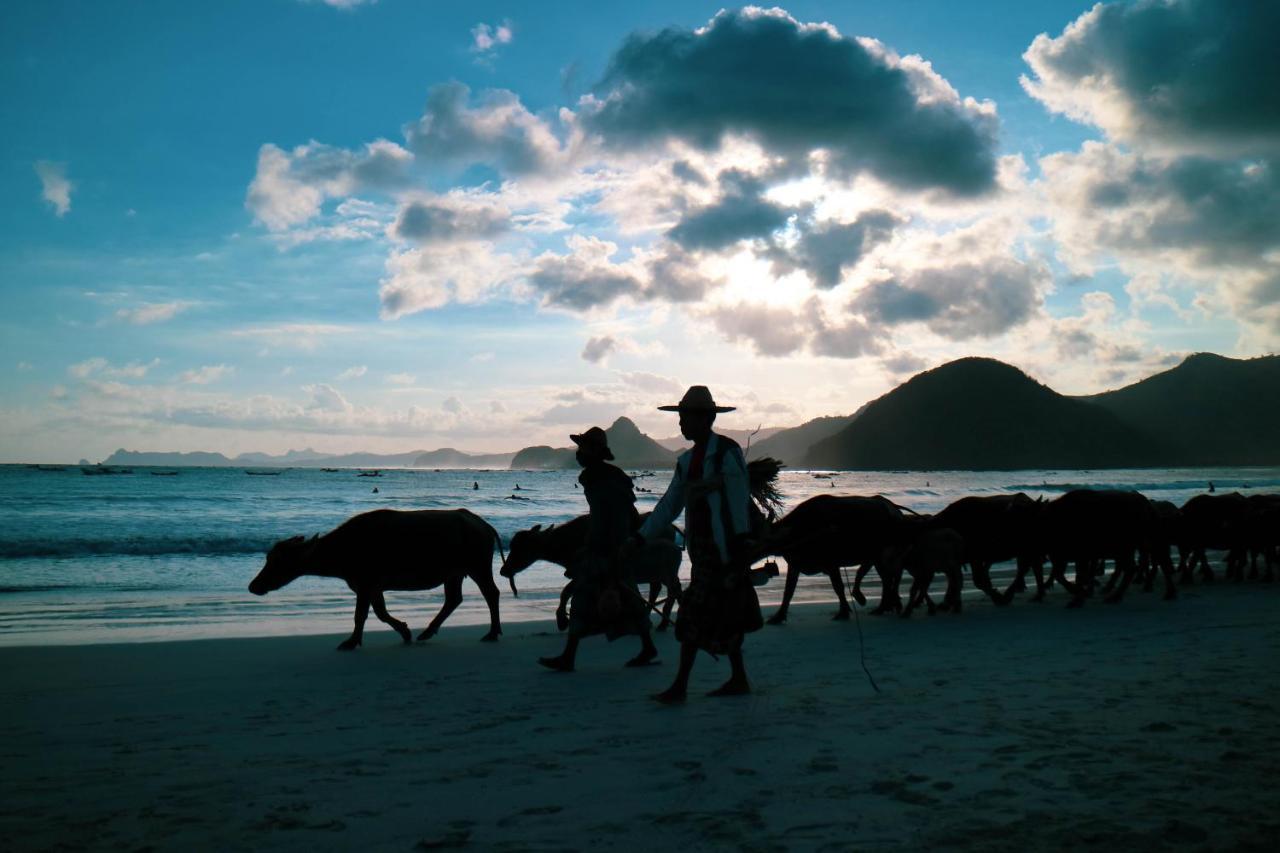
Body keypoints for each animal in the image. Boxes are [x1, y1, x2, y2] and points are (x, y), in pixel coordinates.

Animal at [249, 507, 504, 648]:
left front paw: (351, 642)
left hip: (478, 568)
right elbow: (381, 613)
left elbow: (360, 615)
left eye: (278, 561)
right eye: (268, 558)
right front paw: (404, 631)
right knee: (453, 599)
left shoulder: (366, 585)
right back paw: (426, 632)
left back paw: (492, 633)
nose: (253, 586)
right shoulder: (373, 587)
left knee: (492, 593)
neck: (345, 547)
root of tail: (481, 524)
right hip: (455, 574)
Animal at [499, 507, 686, 627]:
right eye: (512, 546)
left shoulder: (582, 574)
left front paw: (562, 619)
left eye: (522, 547)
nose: (503, 570)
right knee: (661, 587)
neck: (570, 540)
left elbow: (565, 592)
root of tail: (671, 526)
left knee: (668, 587)